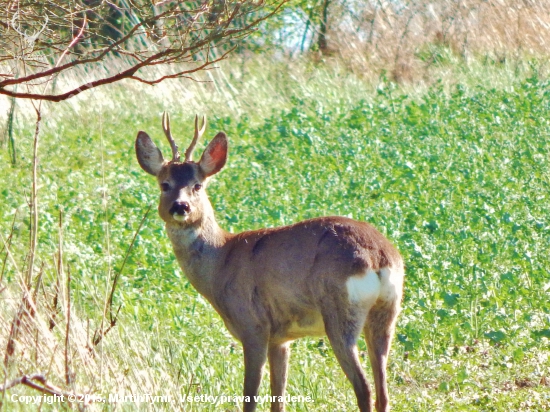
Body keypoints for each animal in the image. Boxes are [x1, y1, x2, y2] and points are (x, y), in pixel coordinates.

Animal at [135, 113, 406, 412]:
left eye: (198, 185)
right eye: (164, 184)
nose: (180, 207)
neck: (221, 260)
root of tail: (379, 257)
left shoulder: (253, 325)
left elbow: (250, 396)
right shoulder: (281, 337)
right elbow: (279, 397)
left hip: (341, 313)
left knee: (365, 389)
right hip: (387, 313)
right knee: (383, 391)